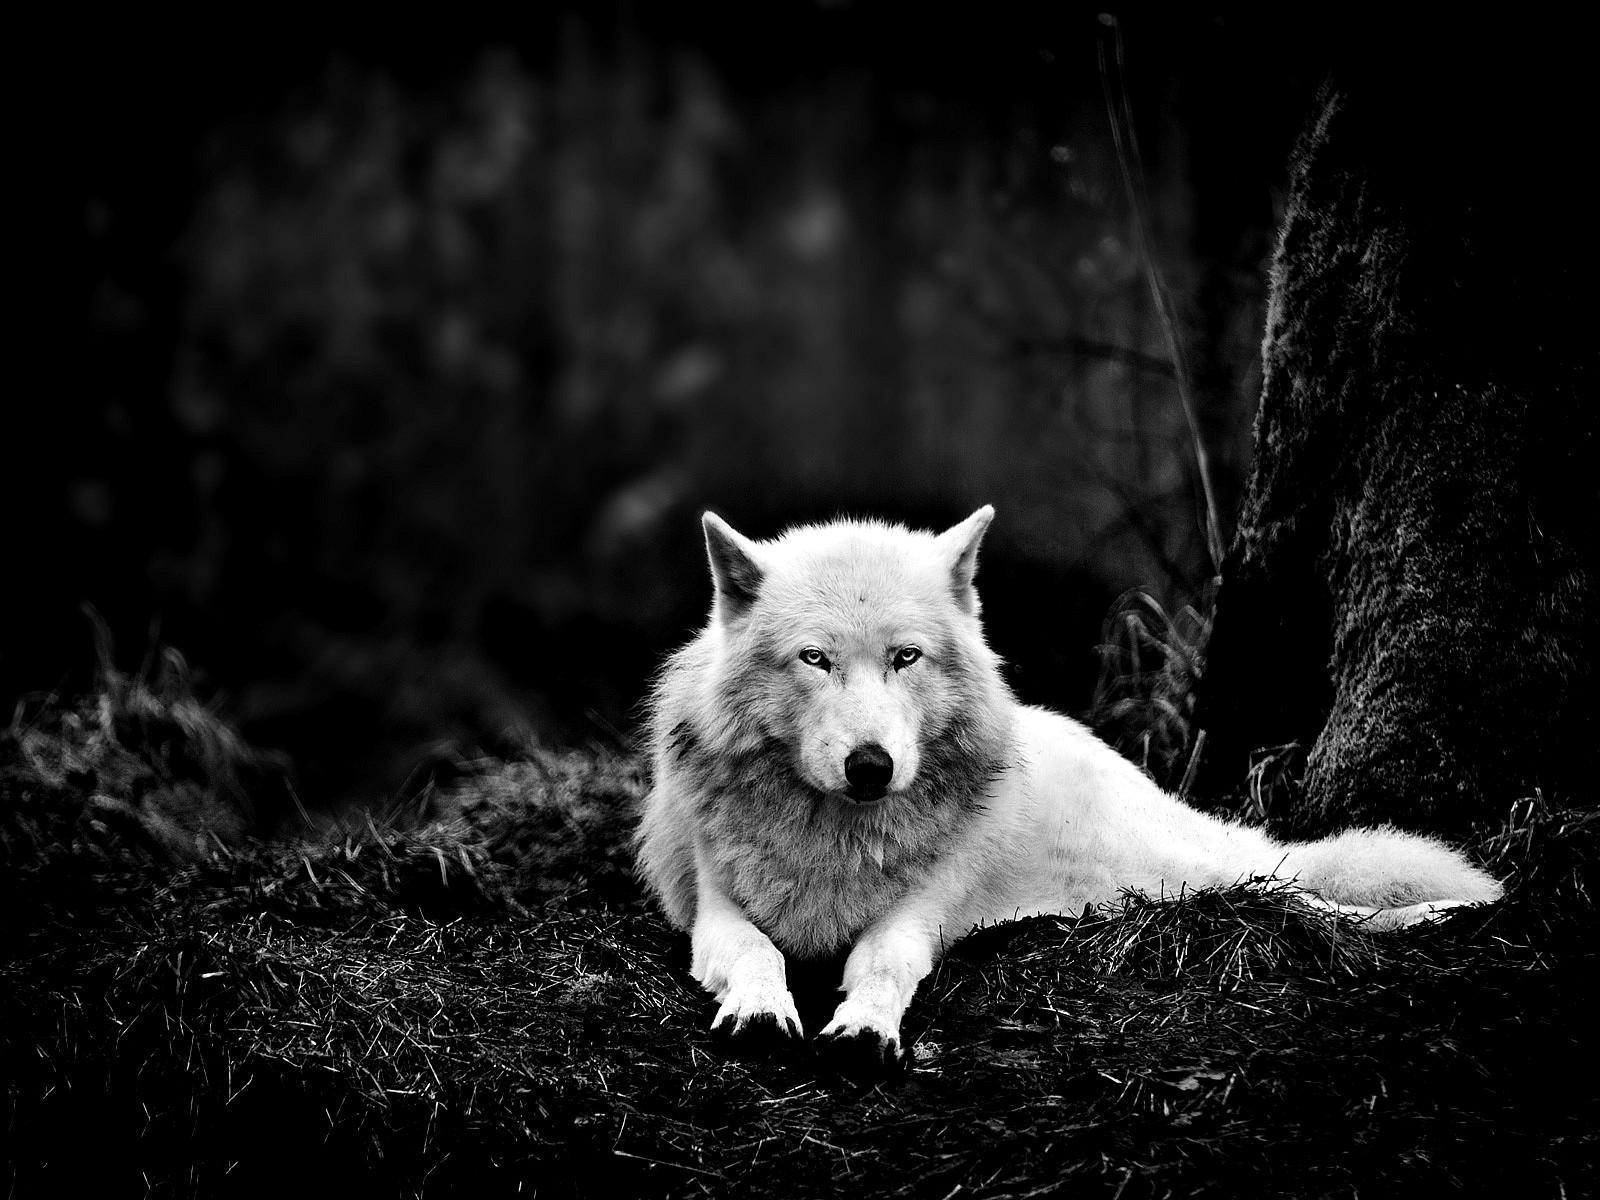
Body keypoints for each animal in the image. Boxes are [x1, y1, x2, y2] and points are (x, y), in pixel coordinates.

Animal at [633, 508, 1497, 1068]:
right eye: (815, 659)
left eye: (906, 657)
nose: (871, 766)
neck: (836, 835)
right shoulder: (714, 911)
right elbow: (755, 952)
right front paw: (760, 1010)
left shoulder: (918, 916)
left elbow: (881, 963)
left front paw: (865, 1030)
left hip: (1187, 872)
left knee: (1301, 892)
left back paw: (1444, 912)